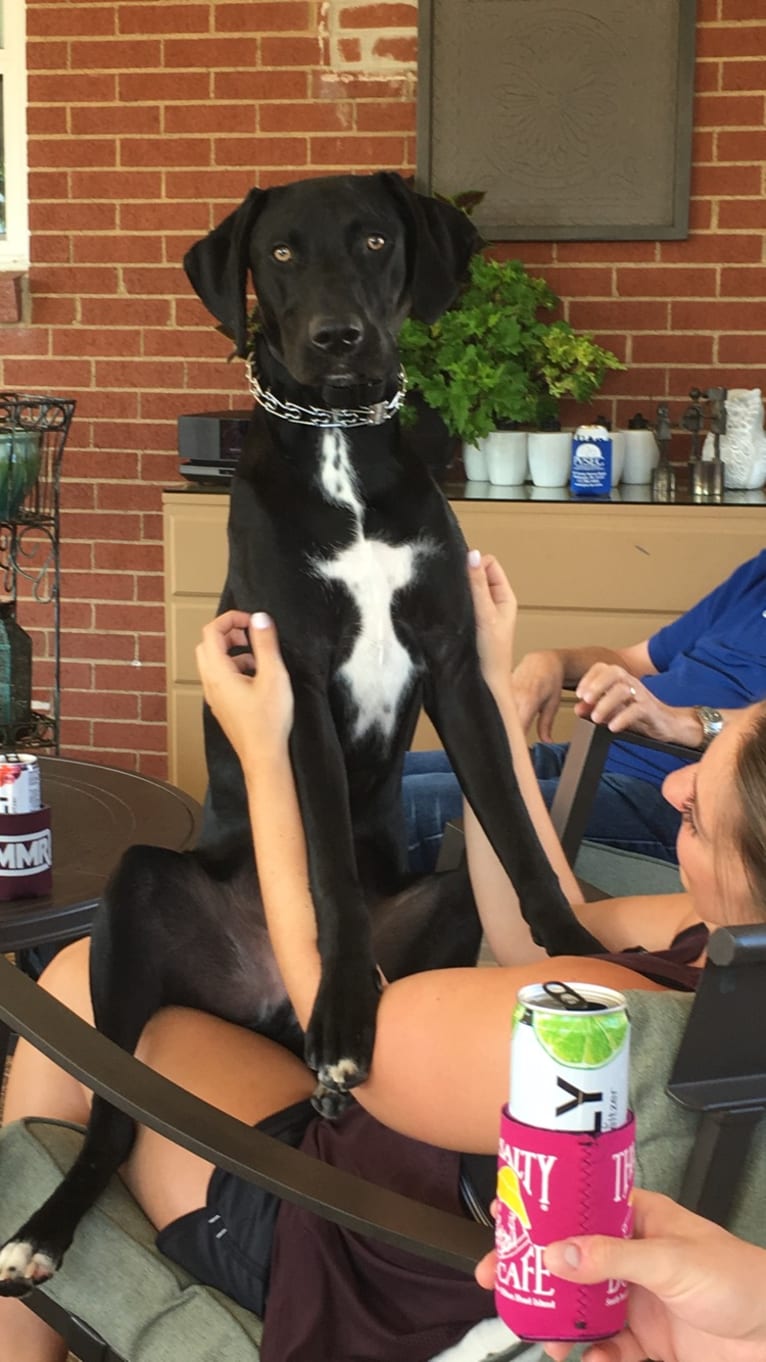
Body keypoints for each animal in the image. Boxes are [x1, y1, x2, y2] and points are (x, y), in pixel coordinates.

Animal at [0, 170, 596, 1285]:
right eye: (278, 253)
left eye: (373, 239)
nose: (336, 339)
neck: (341, 451)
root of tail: (270, 1001)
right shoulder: (301, 685)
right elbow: (325, 871)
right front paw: (348, 1013)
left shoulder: (459, 671)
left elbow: (518, 836)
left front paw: (583, 948)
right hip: (134, 899)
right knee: (110, 1119)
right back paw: (47, 1228)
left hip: (445, 900)